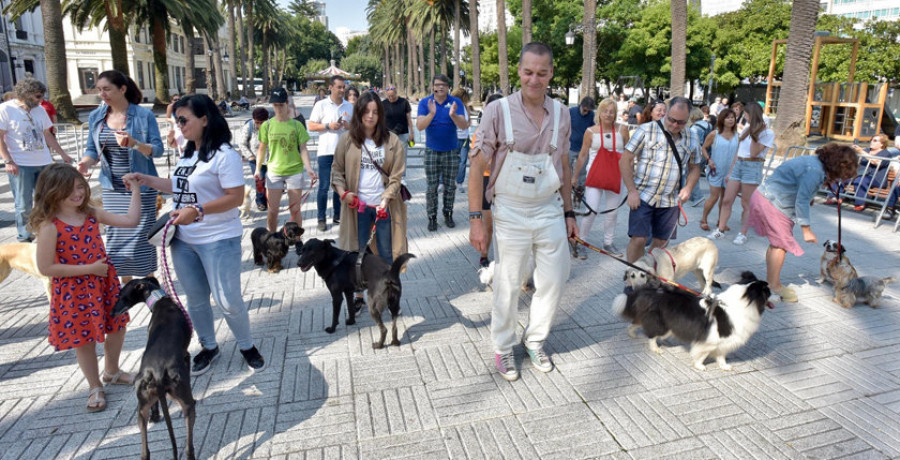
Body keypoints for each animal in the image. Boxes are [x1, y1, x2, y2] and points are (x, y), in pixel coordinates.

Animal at [112, 276, 195, 460]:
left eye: (121, 296)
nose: (111, 313)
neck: (160, 301)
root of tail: (157, 372)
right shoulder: (186, 356)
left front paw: (156, 416)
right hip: (186, 404)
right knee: (188, 445)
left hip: (141, 408)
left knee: (145, 452)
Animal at [612, 274, 772, 370]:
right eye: (768, 292)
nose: (776, 294)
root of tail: (652, 291)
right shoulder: (709, 340)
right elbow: (702, 354)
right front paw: (699, 366)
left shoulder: (723, 342)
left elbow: (721, 356)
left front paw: (725, 366)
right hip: (664, 327)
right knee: (651, 335)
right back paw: (655, 348)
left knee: (636, 322)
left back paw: (632, 334)